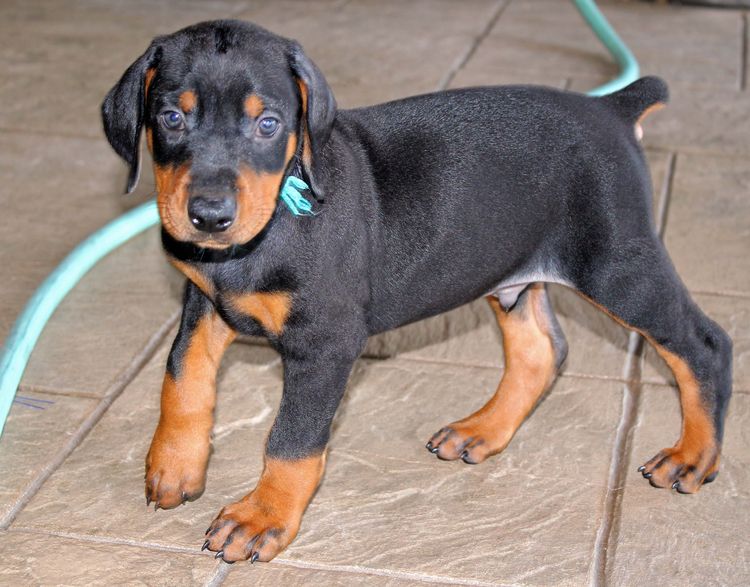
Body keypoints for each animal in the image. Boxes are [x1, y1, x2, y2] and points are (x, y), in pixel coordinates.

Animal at [101, 20, 736, 564]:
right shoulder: (204, 304)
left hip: (616, 266)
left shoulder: (326, 343)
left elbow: (292, 440)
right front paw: (175, 467)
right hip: (509, 271)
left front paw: (262, 519)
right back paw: (482, 431)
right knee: (542, 351)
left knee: (706, 343)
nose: (209, 216)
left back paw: (692, 457)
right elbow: (182, 378)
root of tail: (611, 107)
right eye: (170, 118)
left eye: (268, 124)